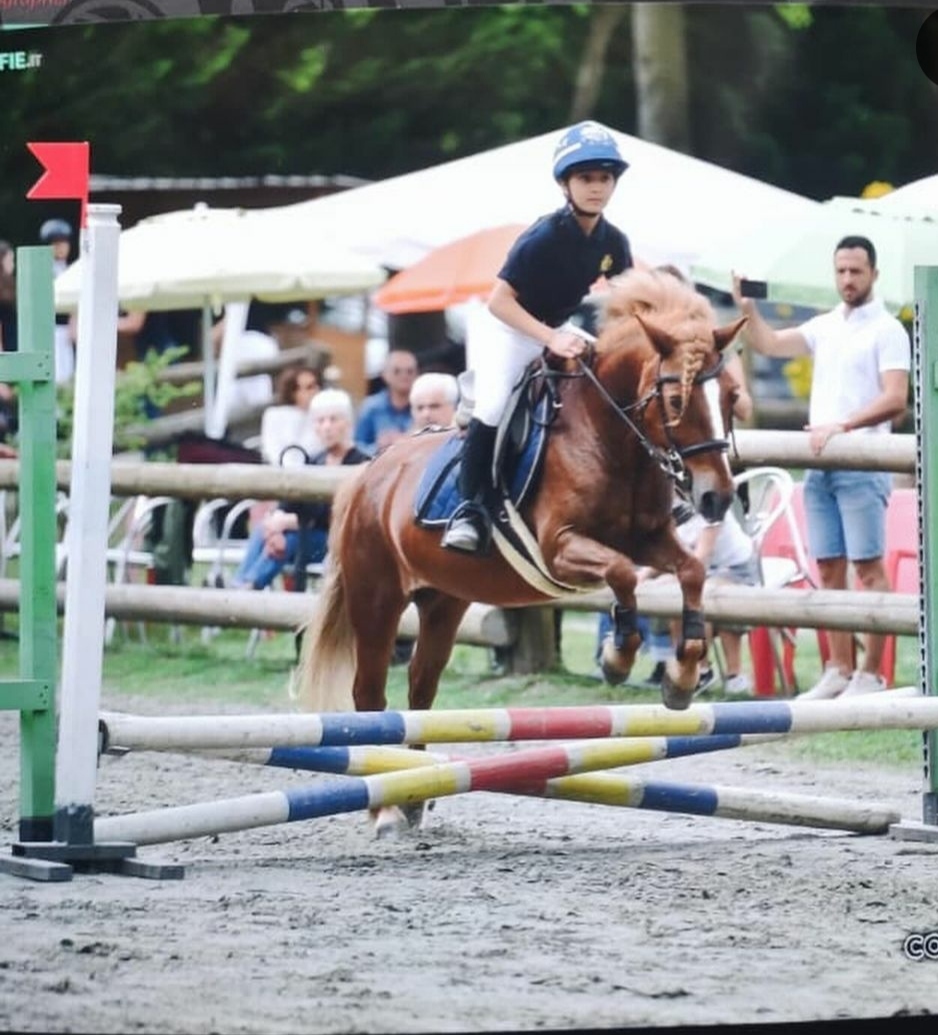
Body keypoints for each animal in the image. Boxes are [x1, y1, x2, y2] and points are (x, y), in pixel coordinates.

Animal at [296, 275, 741, 728]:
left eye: (732, 397)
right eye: (676, 401)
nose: (717, 497)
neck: (608, 437)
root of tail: (367, 475)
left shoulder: (648, 539)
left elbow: (691, 571)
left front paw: (682, 677)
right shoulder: (559, 547)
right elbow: (621, 573)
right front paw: (617, 659)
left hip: (443, 600)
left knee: (422, 685)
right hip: (377, 599)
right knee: (369, 692)